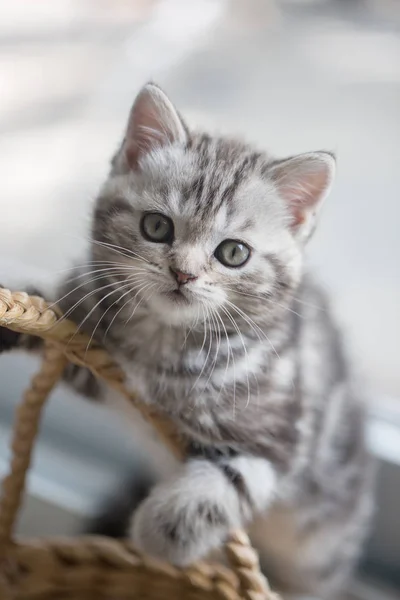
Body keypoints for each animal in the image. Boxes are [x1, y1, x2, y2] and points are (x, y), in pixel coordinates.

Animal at [0, 83, 376, 596]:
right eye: (157, 226)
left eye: (233, 253)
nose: (183, 273)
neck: (164, 340)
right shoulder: (99, 361)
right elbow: (49, 312)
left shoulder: (284, 436)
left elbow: (233, 480)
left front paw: (162, 534)